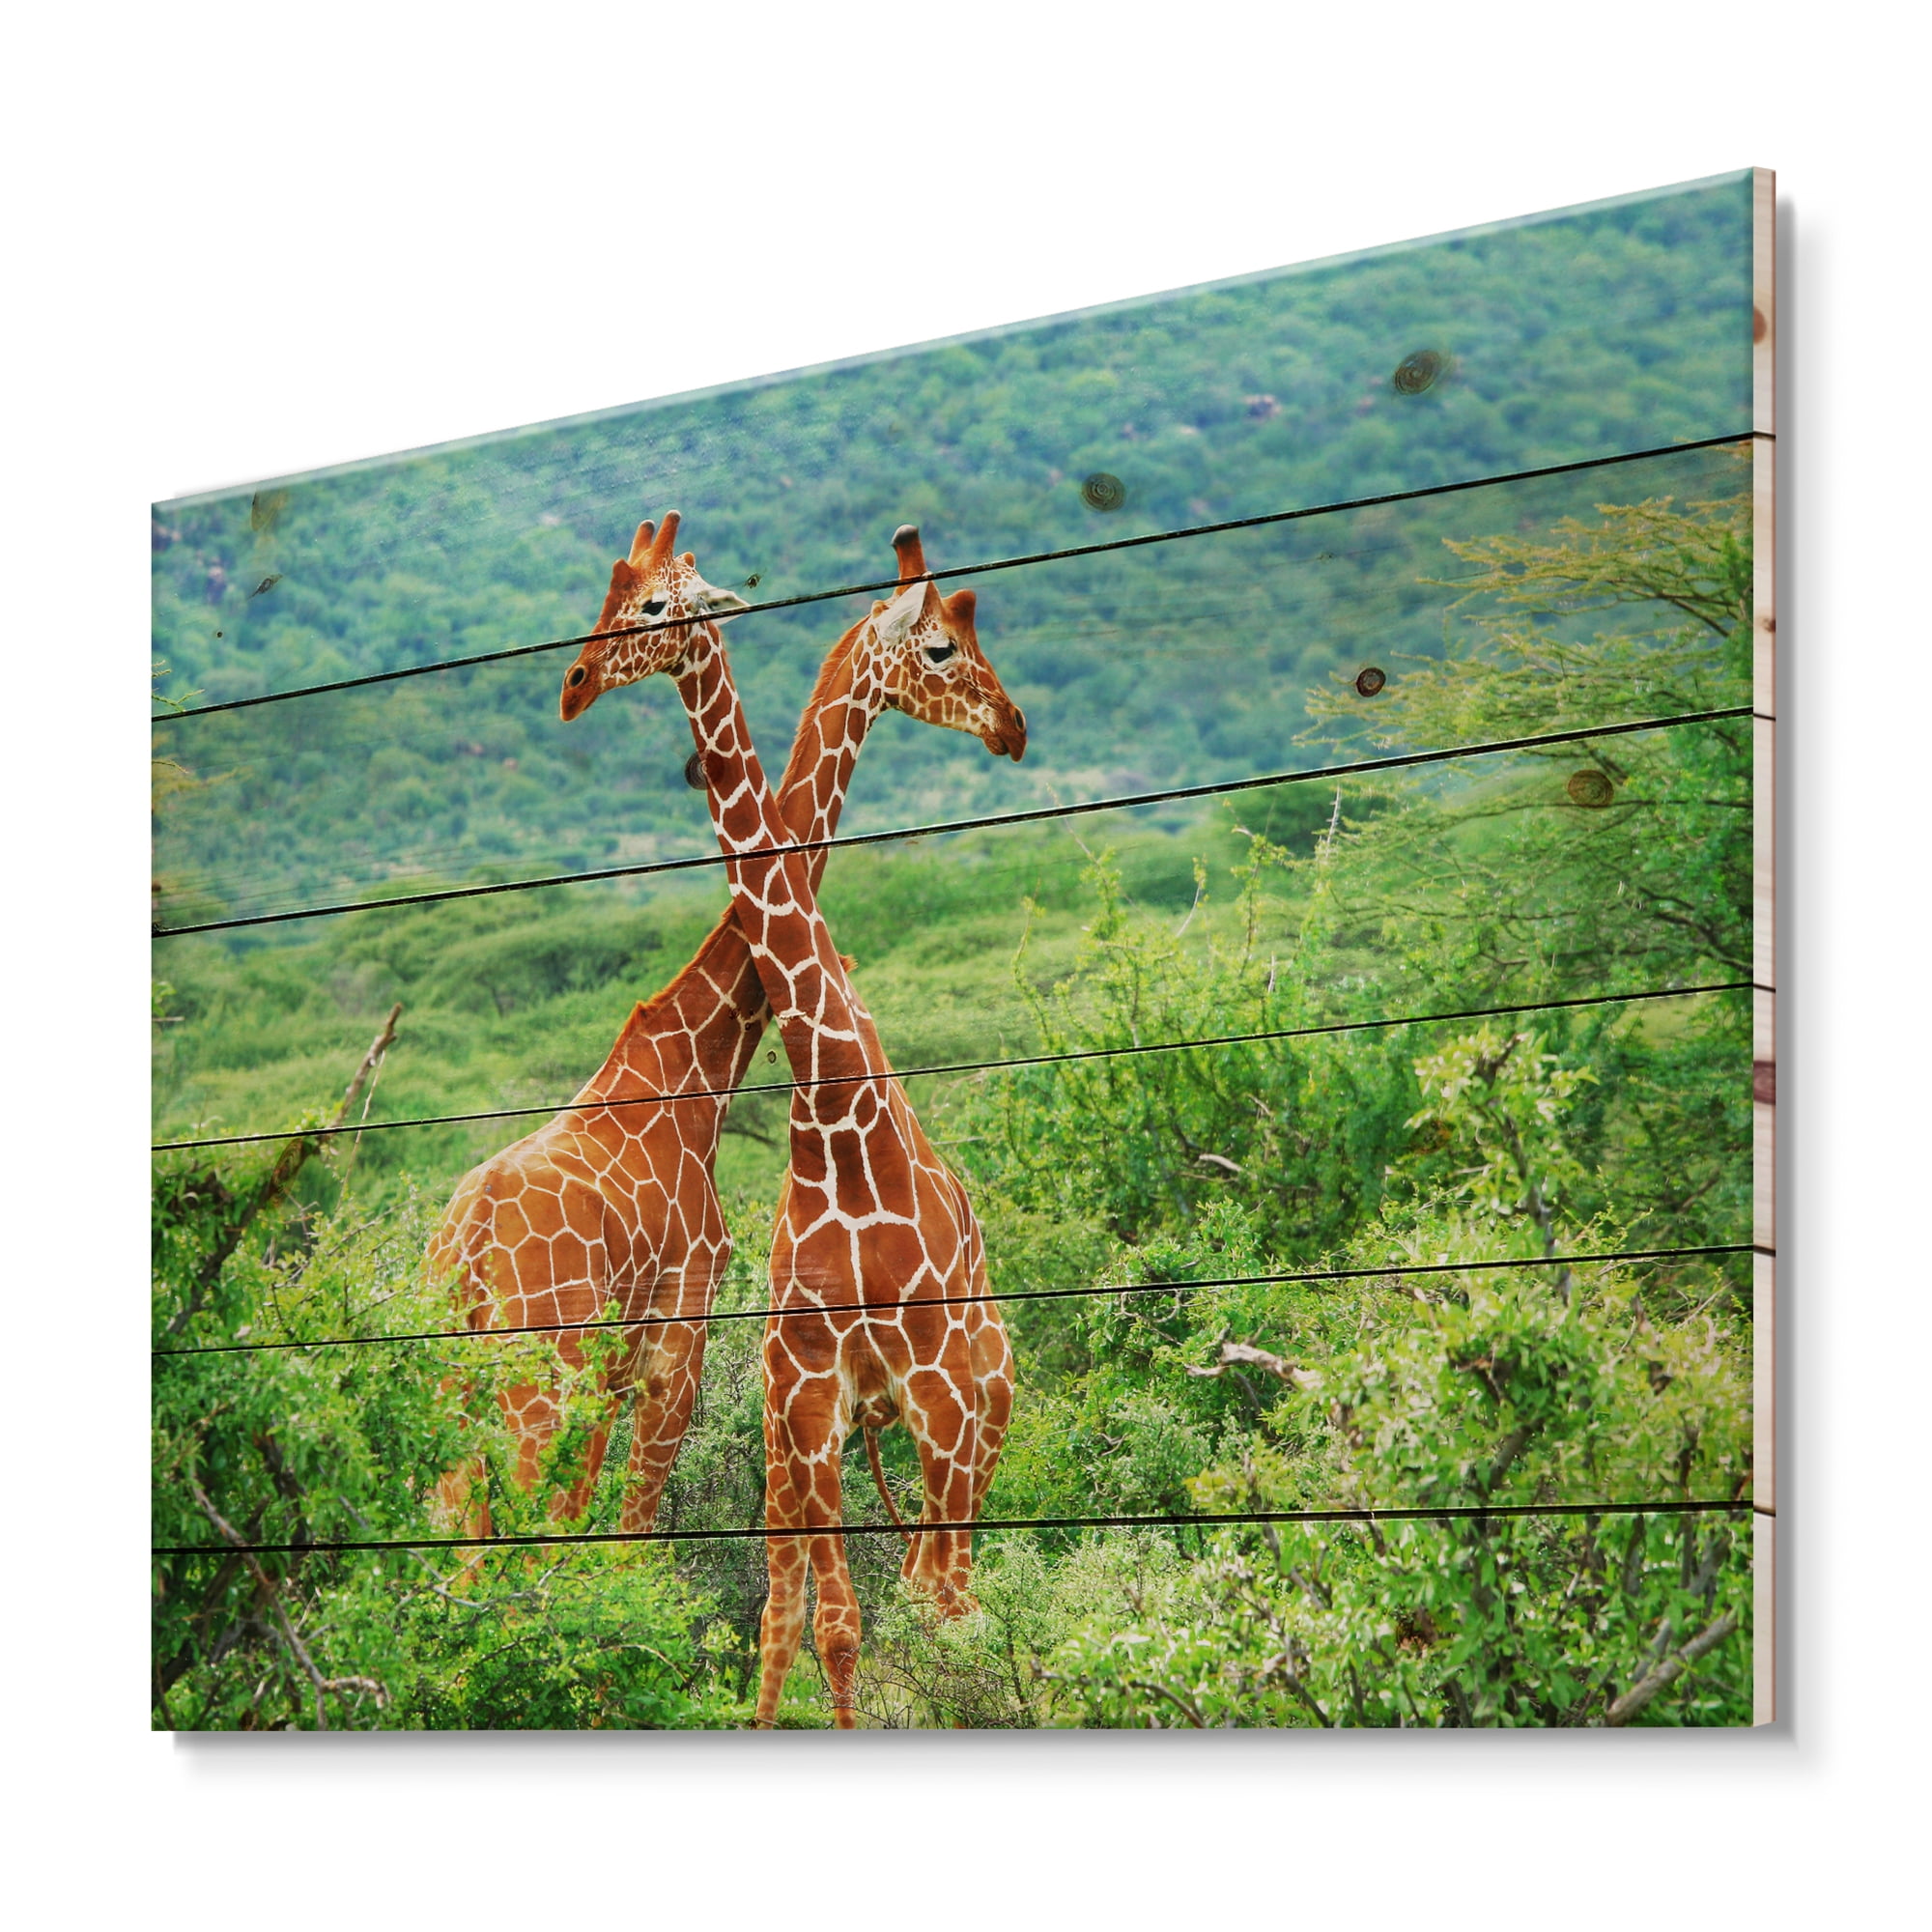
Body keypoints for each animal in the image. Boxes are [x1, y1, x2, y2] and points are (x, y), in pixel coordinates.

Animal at [430, 518, 1025, 1548]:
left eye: (648, 603)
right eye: (944, 648)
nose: (1011, 725)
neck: (696, 1062)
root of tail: (460, 1252)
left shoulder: (632, 1365)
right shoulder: (680, 1341)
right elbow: (626, 1542)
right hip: (534, 1383)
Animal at [559, 513, 1017, 1729]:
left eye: (655, 604)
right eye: (613, 597)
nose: (1011, 725)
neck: (836, 1101)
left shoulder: (931, 1385)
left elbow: (915, 1608)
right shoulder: (807, 1387)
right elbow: (823, 1622)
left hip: (980, 1404)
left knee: (956, 1590)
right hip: (825, 1430)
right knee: (830, 1597)